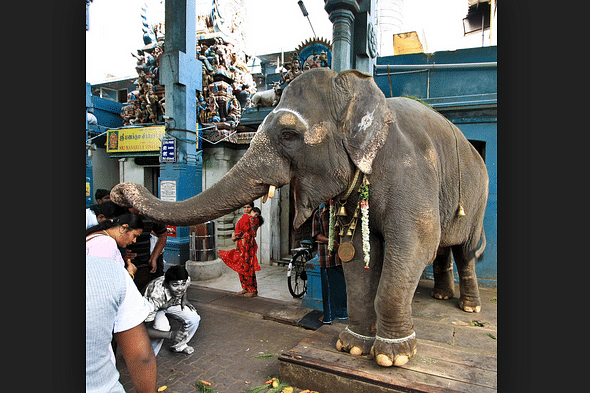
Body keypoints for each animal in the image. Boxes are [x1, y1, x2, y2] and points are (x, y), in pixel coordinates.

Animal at [111, 67, 490, 368]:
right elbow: (357, 256)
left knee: (463, 250)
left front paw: (391, 357)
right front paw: (353, 348)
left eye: (289, 135)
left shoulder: (410, 172)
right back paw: (441, 297)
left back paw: (470, 309)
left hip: (480, 197)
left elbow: (415, 244)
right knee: (444, 249)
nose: (118, 191)